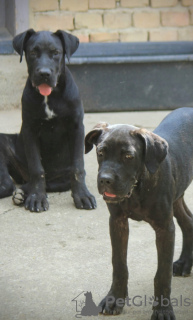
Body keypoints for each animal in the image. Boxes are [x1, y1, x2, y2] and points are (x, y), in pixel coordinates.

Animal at [0, 28, 96, 211]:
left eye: (56, 53)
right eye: (32, 53)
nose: (44, 73)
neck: (49, 97)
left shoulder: (76, 127)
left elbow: (78, 167)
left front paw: (82, 195)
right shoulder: (30, 129)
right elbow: (37, 169)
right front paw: (37, 197)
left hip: (62, 178)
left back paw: (23, 192)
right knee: (10, 183)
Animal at [85, 107, 193, 320]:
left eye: (128, 156)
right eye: (100, 152)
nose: (105, 180)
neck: (137, 188)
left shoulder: (165, 229)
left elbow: (162, 274)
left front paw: (163, 310)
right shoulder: (117, 222)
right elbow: (119, 264)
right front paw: (115, 299)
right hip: (177, 197)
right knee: (188, 221)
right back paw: (185, 263)